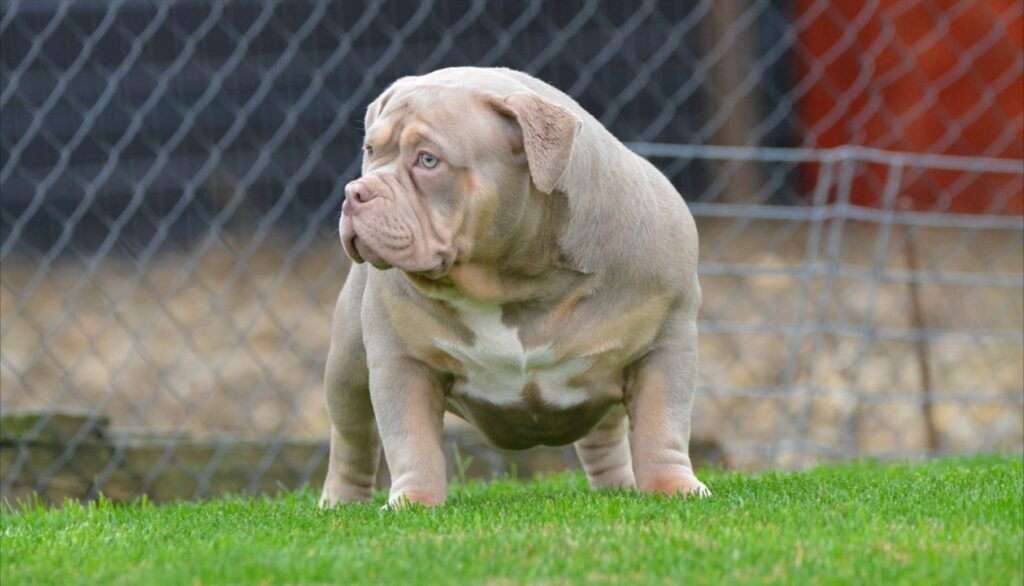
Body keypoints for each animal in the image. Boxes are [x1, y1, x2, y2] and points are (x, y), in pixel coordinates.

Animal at [321, 67, 709, 507]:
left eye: (428, 160)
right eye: (370, 150)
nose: (356, 192)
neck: (514, 282)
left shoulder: (666, 343)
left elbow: (662, 424)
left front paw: (673, 487)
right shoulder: (402, 361)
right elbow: (411, 438)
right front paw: (416, 501)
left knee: (606, 434)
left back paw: (618, 488)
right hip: (348, 367)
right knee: (352, 437)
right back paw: (340, 503)